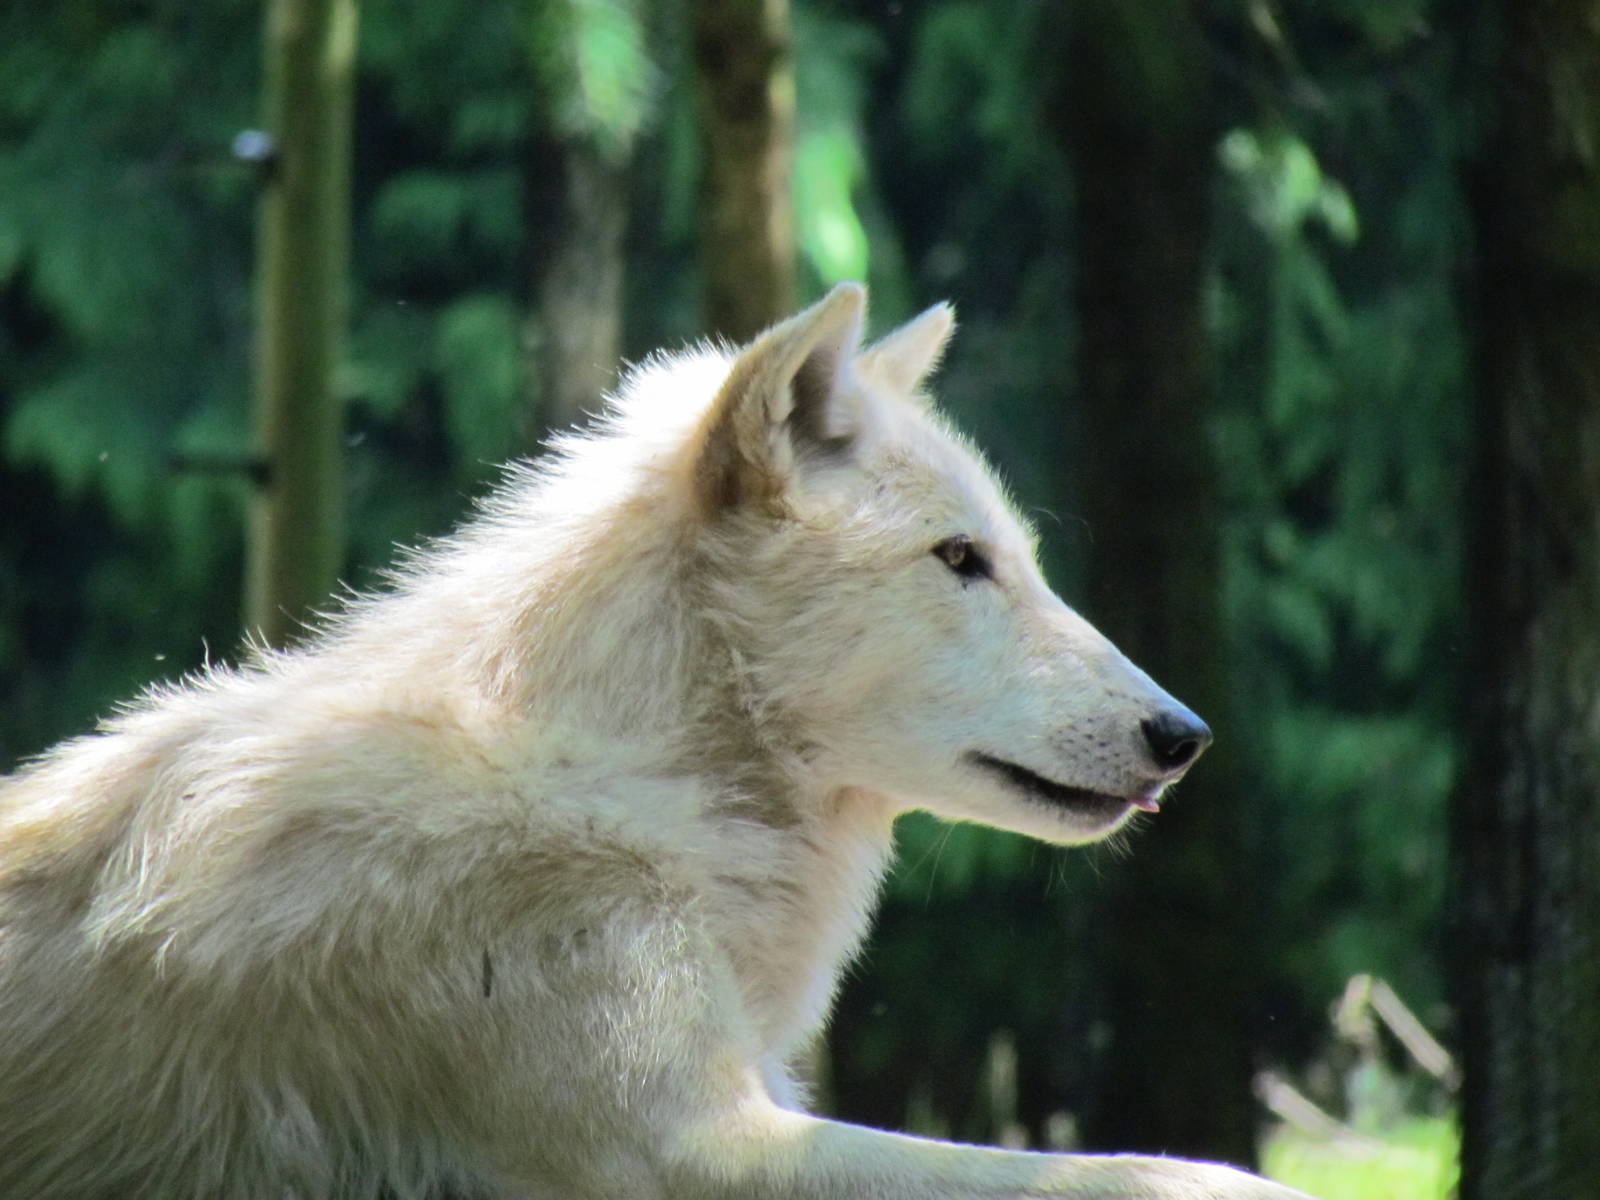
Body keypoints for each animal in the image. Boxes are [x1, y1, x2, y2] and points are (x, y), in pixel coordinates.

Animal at [0, 284, 1311, 1199]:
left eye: (1019, 559)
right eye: (958, 560)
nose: (1185, 736)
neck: (641, 785)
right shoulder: (693, 1147)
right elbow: (1156, 1172)